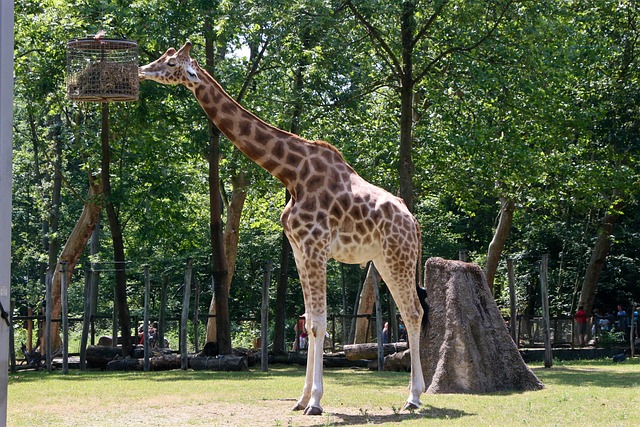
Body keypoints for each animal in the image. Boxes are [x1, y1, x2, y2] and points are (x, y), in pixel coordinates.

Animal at [139, 41, 428, 415]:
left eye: (172, 63)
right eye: (164, 56)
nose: (142, 70)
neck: (291, 173)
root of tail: (414, 222)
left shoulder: (315, 246)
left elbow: (317, 324)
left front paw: (315, 402)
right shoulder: (299, 248)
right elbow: (311, 319)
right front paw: (301, 399)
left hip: (399, 256)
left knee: (414, 312)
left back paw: (413, 397)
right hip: (383, 260)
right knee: (410, 313)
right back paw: (414, 396)